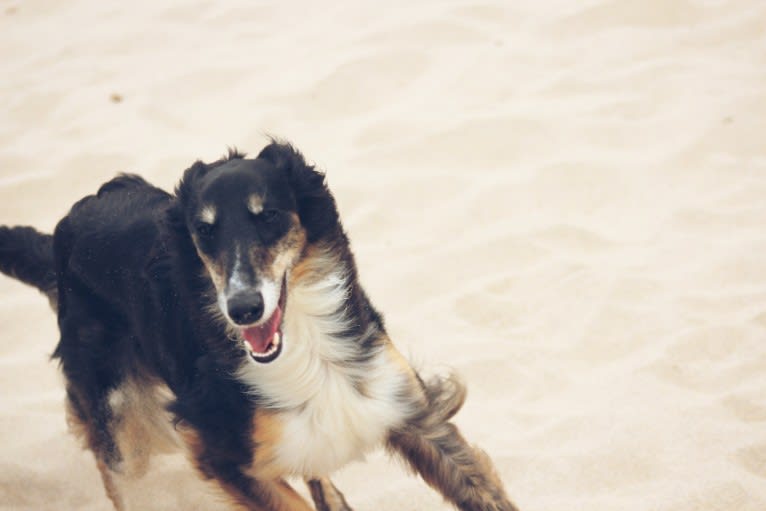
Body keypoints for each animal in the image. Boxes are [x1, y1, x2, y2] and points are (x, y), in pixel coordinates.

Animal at [0, 141, 520, 511]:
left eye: (267, 215)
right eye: (205, 230)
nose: (244, 309)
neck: (305, 343)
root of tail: (66, 227)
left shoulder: (409, 410)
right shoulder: (219, 452)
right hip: (119, 417)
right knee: (119, 471)